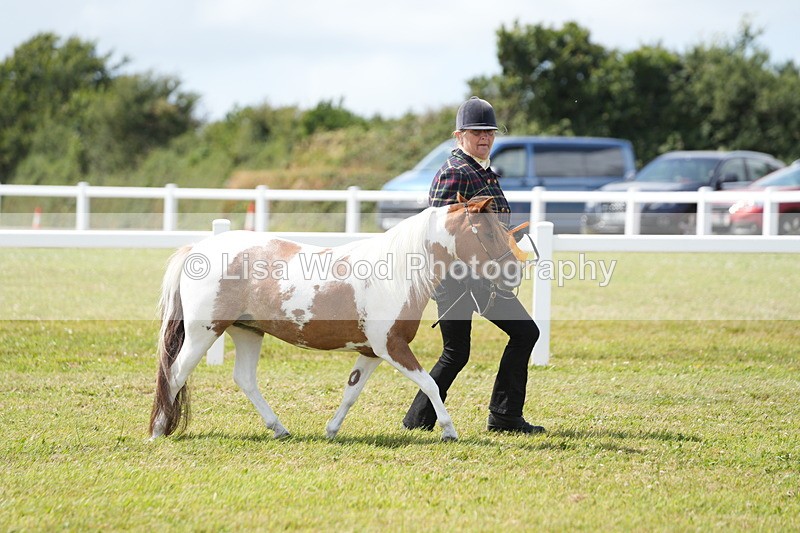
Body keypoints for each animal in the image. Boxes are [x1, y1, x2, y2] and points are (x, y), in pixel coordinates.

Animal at [148, 194, 529, 442]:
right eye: (490, 231)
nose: (514, 273)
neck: (393, 273)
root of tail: (196, 249)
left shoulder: (372, 352)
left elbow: (352, 391)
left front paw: (331, 430)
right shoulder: (392, 347)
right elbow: (431, 384)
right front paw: (450, 430)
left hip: (247, 331)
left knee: (244, 378)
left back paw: (279, 429)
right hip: (203, 332)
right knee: (175, 373)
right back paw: (158, 431)